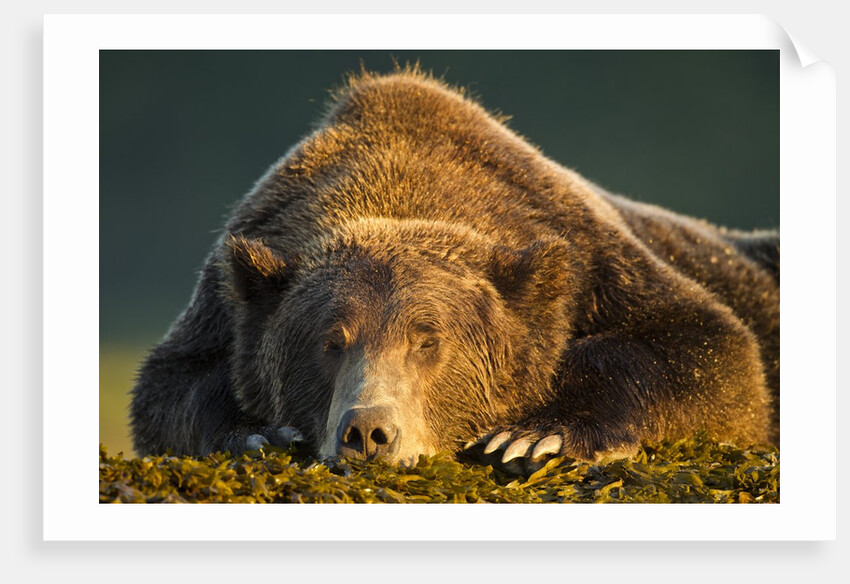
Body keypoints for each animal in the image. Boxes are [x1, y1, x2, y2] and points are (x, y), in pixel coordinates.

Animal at [130, 67, 779, 474]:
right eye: (330, 342)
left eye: (428, 342)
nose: (369, 432)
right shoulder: (227, 298)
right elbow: (171, 388)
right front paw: (263, 434)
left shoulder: (594, 259)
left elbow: (712, 355)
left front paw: (534, 436)